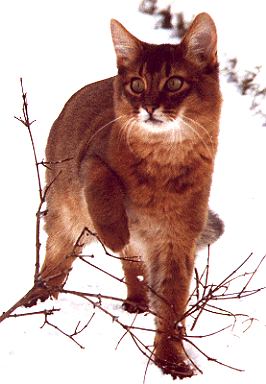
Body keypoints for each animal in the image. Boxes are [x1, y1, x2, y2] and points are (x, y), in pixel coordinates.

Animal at [26, 13, 222, 380]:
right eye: (137, 85)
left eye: (174, 83)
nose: (149, 107)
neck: (164, 161)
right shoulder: (89, 160)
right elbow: (103, 183)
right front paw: (114, 232)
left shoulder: (176, 241)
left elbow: (171, 305)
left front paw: (172, 362)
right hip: (64, 218)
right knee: (54, 264)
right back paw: (38, 300)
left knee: (134, 264)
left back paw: (136, 300)